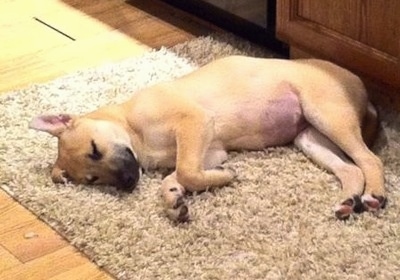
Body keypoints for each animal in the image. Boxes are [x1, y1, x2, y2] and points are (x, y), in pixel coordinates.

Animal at [29, 55, 386, 222]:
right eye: (93, 179)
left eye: (94, 149)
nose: (129, 182)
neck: (132, 127)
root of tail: (363, 89)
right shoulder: (209, 151)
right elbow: (181, 175)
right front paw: (173, 200)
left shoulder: (195, 123)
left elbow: (187, 171)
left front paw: (223, 178)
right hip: (310, 138)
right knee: (351, 169)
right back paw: (347, 202)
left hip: (326, 115)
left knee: (370, 159)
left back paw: (374, 195)